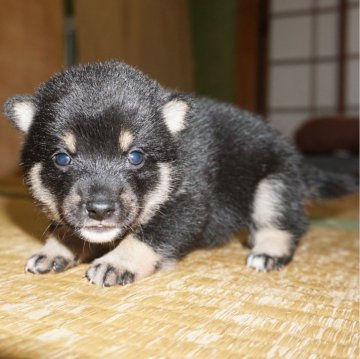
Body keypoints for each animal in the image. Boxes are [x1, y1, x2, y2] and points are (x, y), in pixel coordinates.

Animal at [2, 61, 358, 286]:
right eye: (62, 158)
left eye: (136, 156)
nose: (100, 210)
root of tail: (297, 158)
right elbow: (65, 228)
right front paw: (55, 250)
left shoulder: (187, 204)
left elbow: (148, 235)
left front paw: (118, 262)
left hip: (274, 183)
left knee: (284, 223)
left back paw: (268, 252)